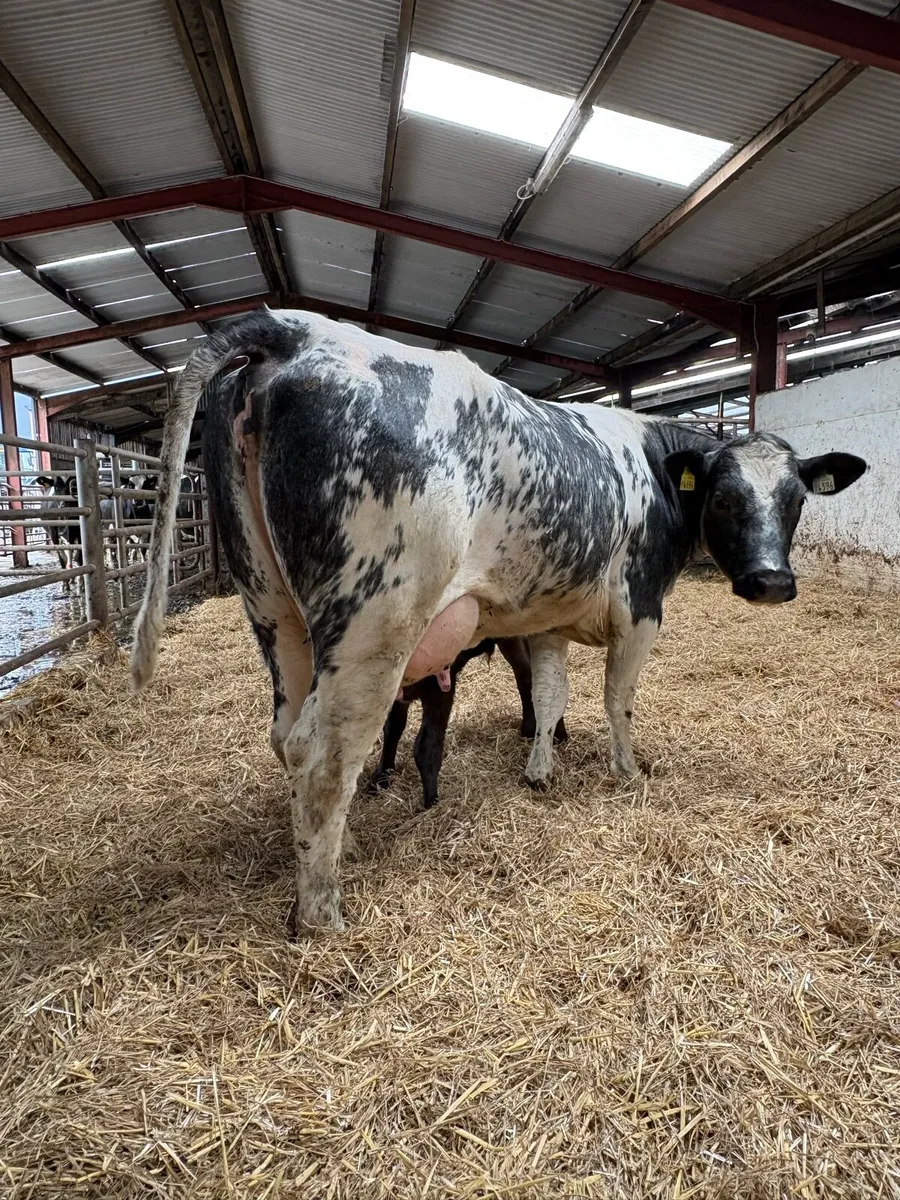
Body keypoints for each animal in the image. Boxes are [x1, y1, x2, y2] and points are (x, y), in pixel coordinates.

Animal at [370, 637, 568, 810]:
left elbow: (427, 745)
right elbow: (393, 728)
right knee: (526, 673)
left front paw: (431, 804)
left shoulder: (439, 686)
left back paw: (557, 736)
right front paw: (381, 777)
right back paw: (529, 728)